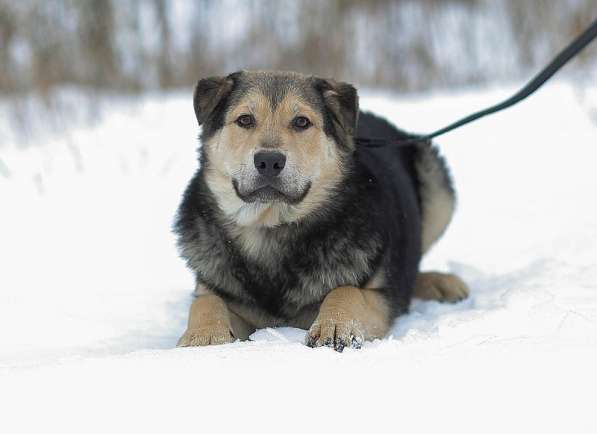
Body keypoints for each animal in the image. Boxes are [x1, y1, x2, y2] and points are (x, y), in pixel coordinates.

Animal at [175, 69, 468, 350]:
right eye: (245, 120)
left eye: (301, 122)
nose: (269, 161)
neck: (272, 226)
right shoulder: (227, 297)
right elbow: (205, 301)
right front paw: (205, 336)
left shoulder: (381, 297)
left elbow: (346, 290)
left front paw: (335, 325)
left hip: (436, 183)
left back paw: (441, 283)